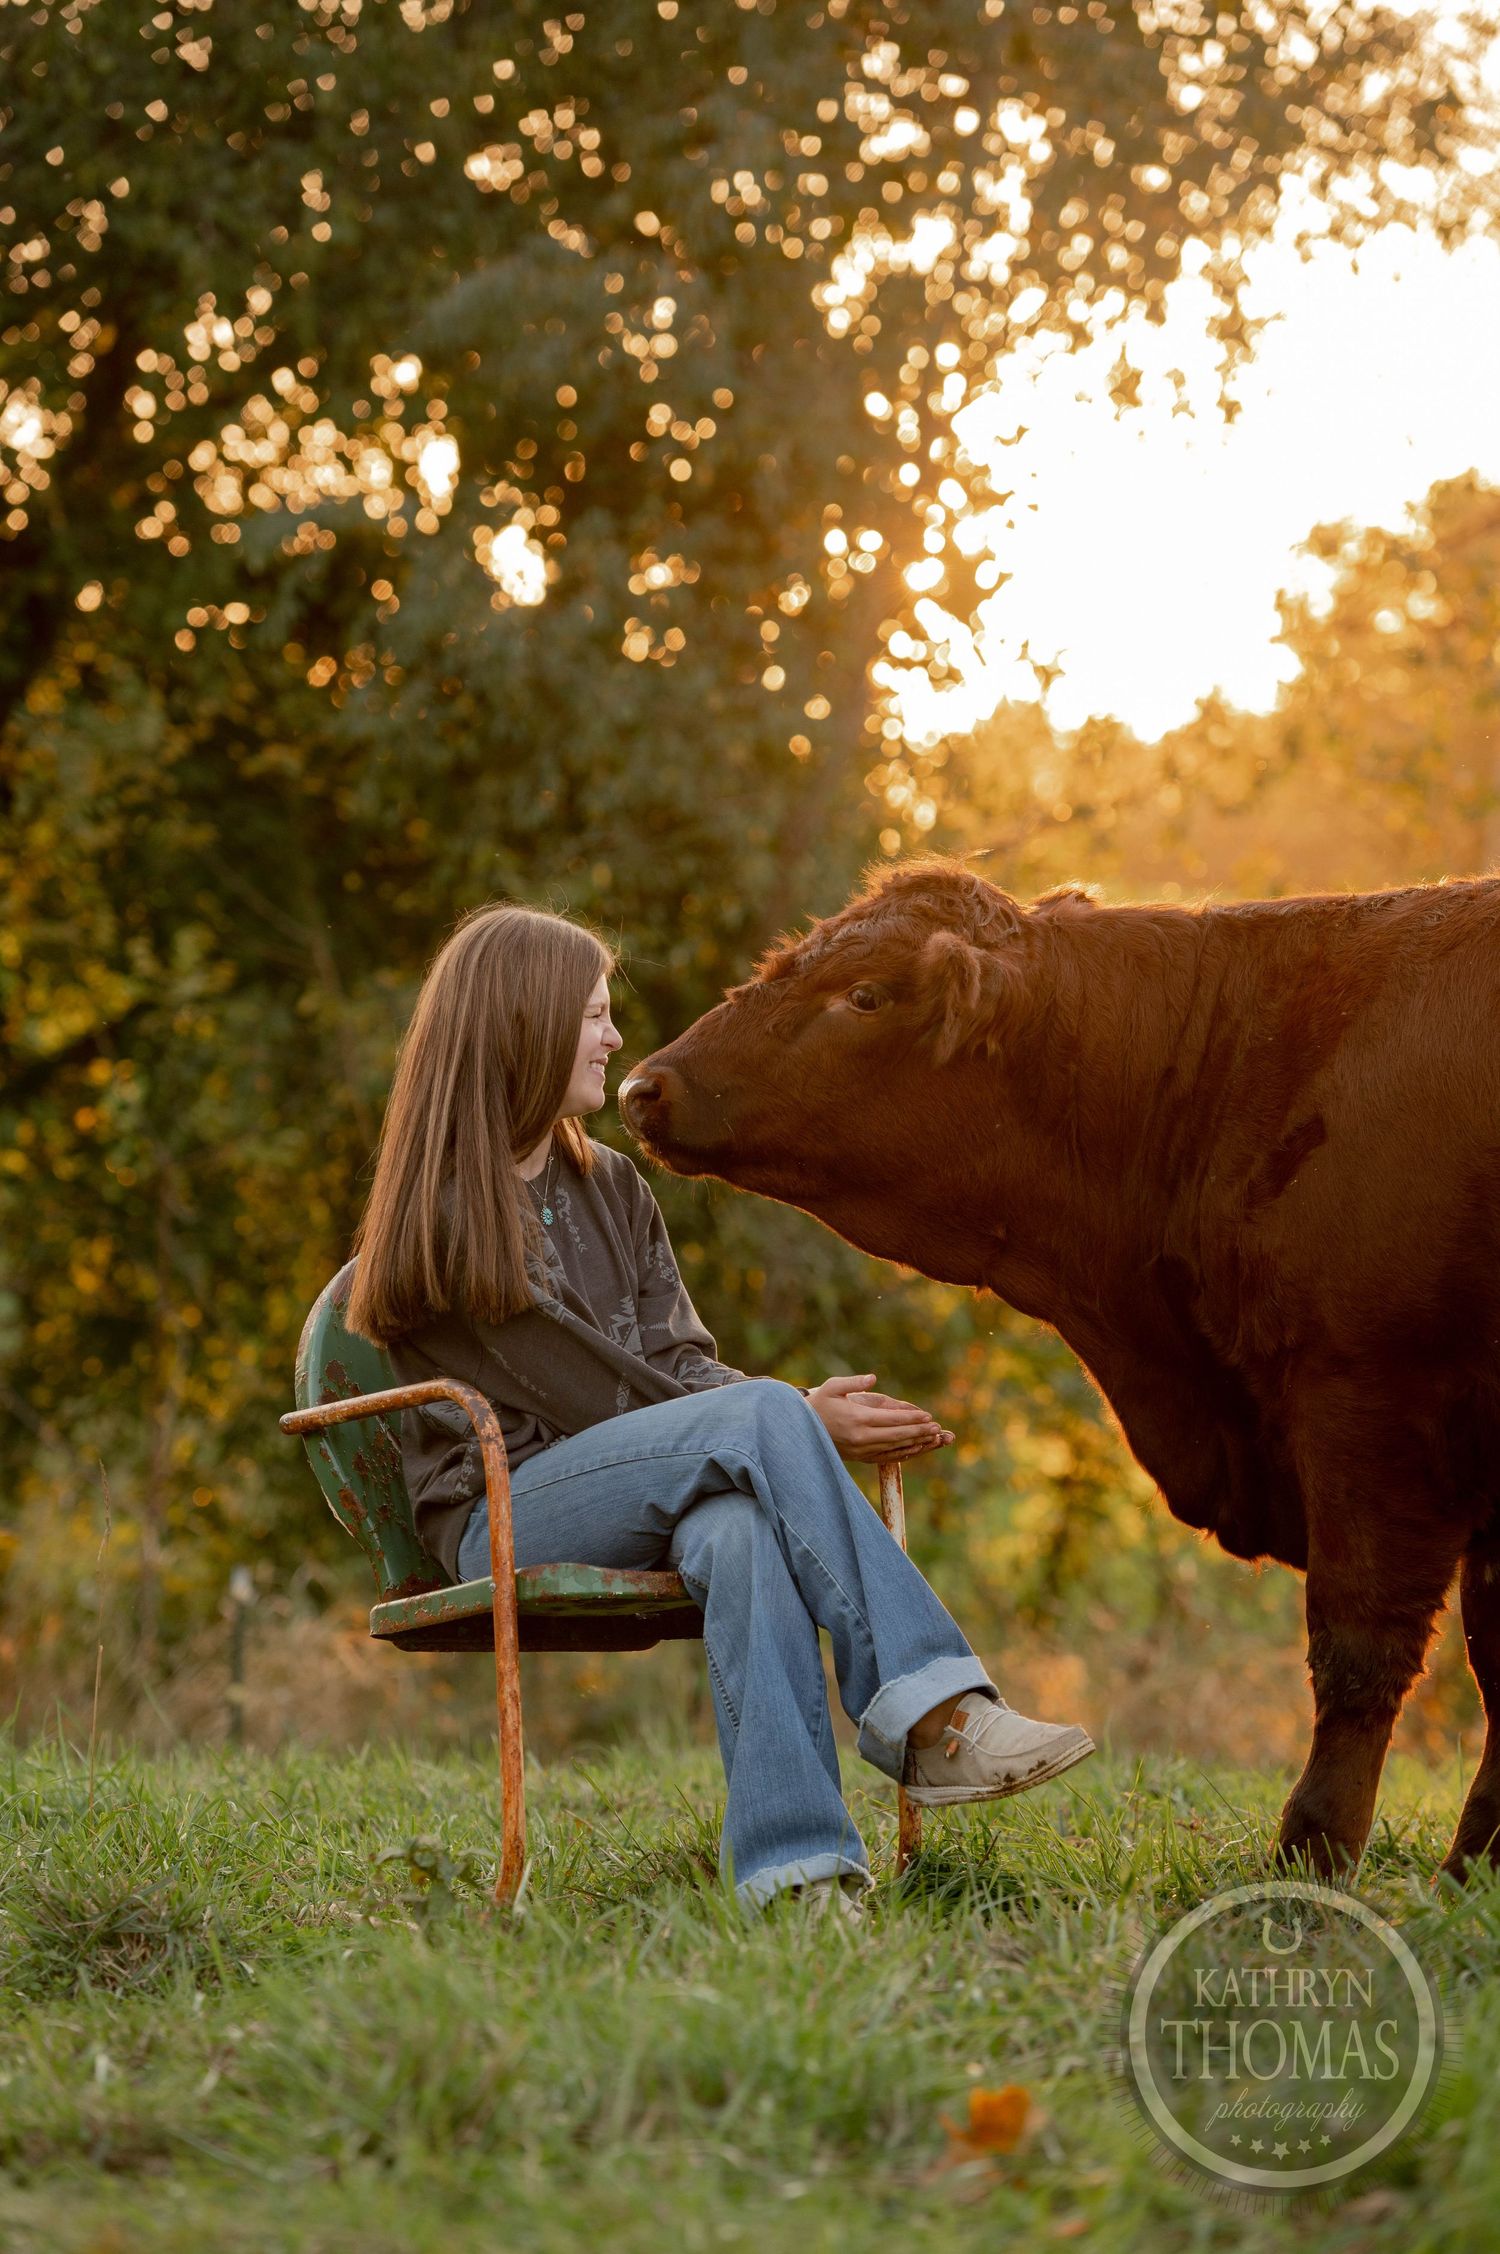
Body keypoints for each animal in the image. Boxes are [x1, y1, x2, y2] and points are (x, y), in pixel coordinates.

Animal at [619, 857, 1500, 1881]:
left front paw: (1313, 1854)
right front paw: (1476, 1861)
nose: (643, 1085)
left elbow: (1362, 1646)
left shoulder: (1368, 1403)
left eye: (865, 995)